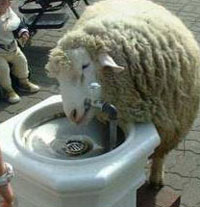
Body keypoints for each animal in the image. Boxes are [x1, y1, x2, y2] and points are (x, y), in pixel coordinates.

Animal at [45, 0, 200, 187]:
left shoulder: (171, 127)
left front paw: (156, 177)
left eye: (85, 65)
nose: (72, 114)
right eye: (59, 78)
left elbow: (160, 154)